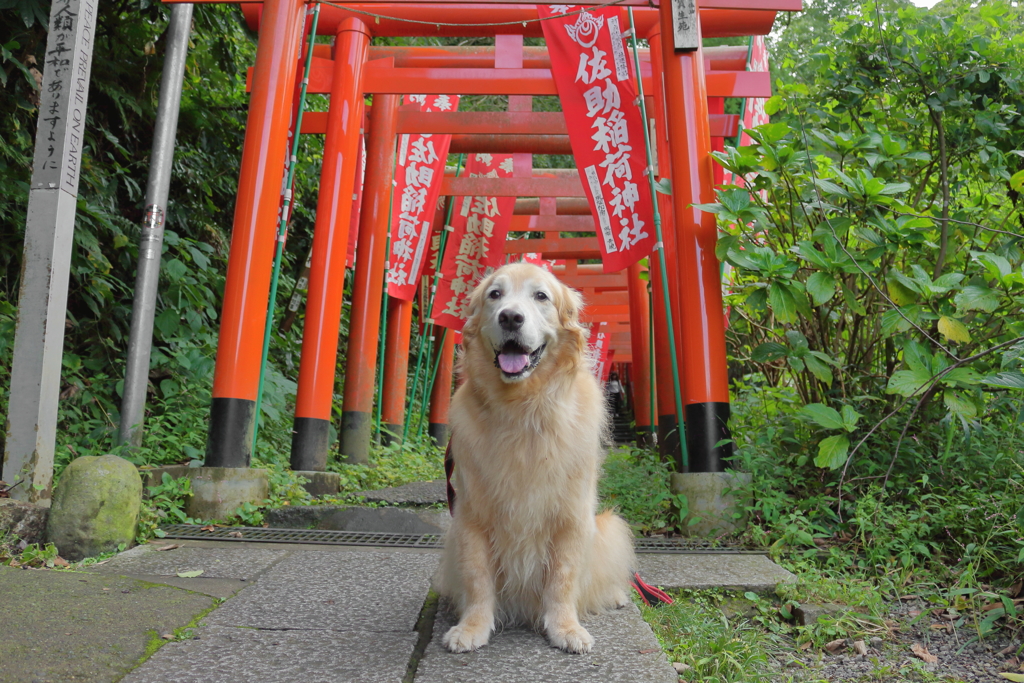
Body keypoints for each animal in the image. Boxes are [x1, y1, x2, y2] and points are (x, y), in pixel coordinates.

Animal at [436, 264, 634, 655]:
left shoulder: (572, 517)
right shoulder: (471, 516)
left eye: (540, 296)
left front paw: (565, 628)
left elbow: (563, 578)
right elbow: (477, 577)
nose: (511, 317)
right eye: (495, 295)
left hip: (607, 526)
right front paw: (472, 626)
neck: (523, 408)